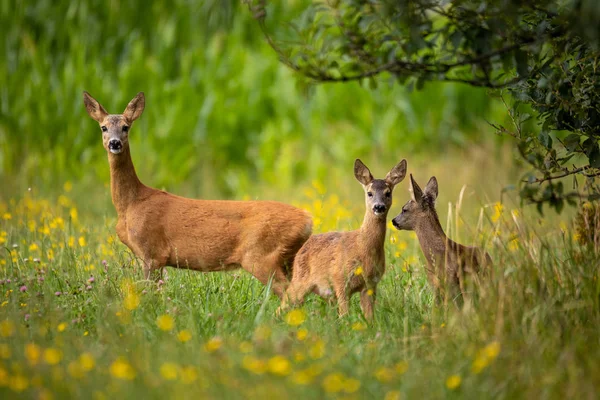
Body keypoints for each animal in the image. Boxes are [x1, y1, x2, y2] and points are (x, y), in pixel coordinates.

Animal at [83, 91, 314, 296]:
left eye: (126, 127)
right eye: (103, 127)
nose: (114, 143)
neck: (130, 204)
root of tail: (307, 219)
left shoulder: (152, 253)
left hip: (261, 256)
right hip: (287, 258)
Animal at [278, 158, 408, 320]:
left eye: (388, 193)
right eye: (369, 193)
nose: (379, 207)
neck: (362, 249)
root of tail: (300, 249)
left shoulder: (371, 284)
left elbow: (370, 318)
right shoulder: (340, 280)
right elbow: (345, 315)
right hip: (300, 280)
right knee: (283, 304)